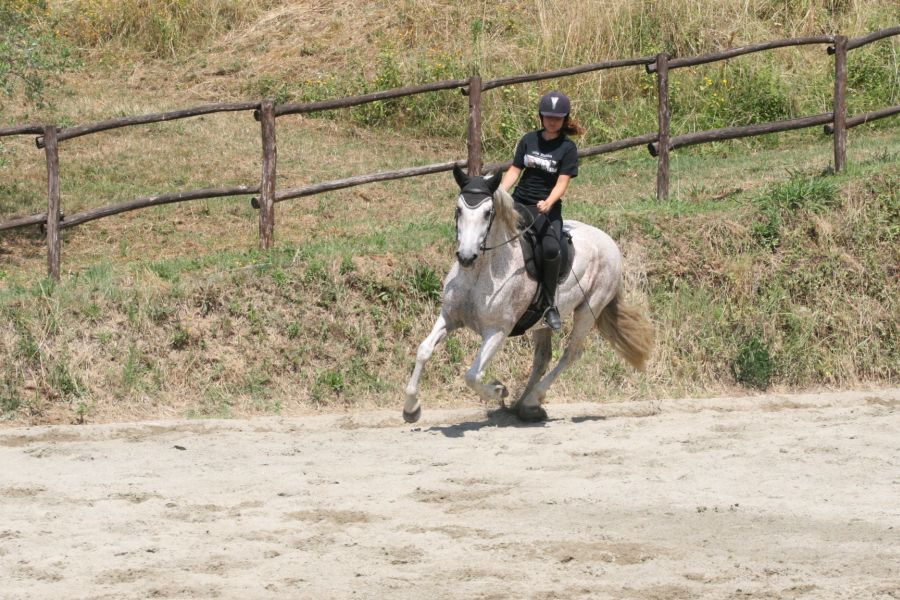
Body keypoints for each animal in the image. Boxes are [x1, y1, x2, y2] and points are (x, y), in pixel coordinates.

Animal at [402, 166, 652, 424]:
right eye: (458, 209)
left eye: (487, 213)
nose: (466, 257)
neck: (480, 272)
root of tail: (609, 241)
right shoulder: (449, 318)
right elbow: (423, 351)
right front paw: (411, 408)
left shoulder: (497, 331)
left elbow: (472, 375)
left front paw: (499, 390)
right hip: (541, 323)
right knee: (543, 357)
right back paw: (527, 406)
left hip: (589, 309)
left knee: (571, 353)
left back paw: (532, 399)